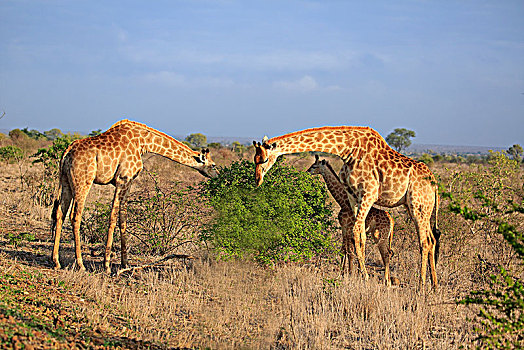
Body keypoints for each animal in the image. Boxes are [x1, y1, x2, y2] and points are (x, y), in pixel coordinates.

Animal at [51, 120, 219, 274]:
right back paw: (80, 264)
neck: (143, 143)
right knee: (75, 216)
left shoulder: (129, 181)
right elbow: (113, 217)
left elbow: (123, 219)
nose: (217, 176)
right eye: (213, 165)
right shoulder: (122, 179)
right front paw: (107, 265)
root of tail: (66, 153)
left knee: (60, 213)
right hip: (83, 181)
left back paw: (56, 261)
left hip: (65, 180)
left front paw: (125, 263)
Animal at [308, 155, 392, 284]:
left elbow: (348, 251)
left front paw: (348, 273)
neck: (343, 201)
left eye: (314, 166)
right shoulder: (345, 228)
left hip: (381, 236)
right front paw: (346, 273)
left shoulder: (346, 228)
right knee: (388, 253)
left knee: (386, 254)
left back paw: (386, 281)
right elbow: (346, 250)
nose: (307, 171)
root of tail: (391, 220)